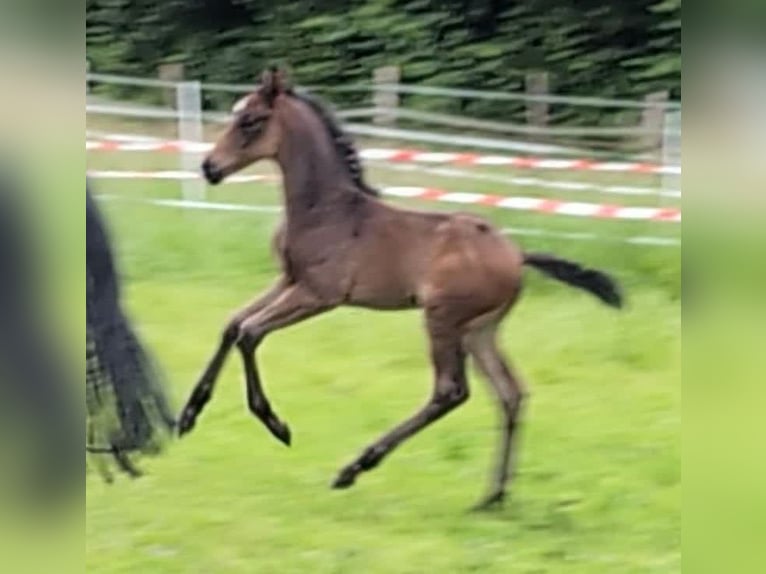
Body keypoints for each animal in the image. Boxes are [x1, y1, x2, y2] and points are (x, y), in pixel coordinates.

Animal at [178, 65, 624, 510]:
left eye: (251, 121)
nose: (209, 167)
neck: (326, 209)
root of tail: (518, 255)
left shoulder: (320, 295)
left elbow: (250, 333)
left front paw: (276, 424)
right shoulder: (289, 280)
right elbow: (232, 324)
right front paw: (188, 414)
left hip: (442, 318)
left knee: (450, 391)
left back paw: (355, 468)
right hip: (480, 329)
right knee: (510, 393)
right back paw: (492, 496)